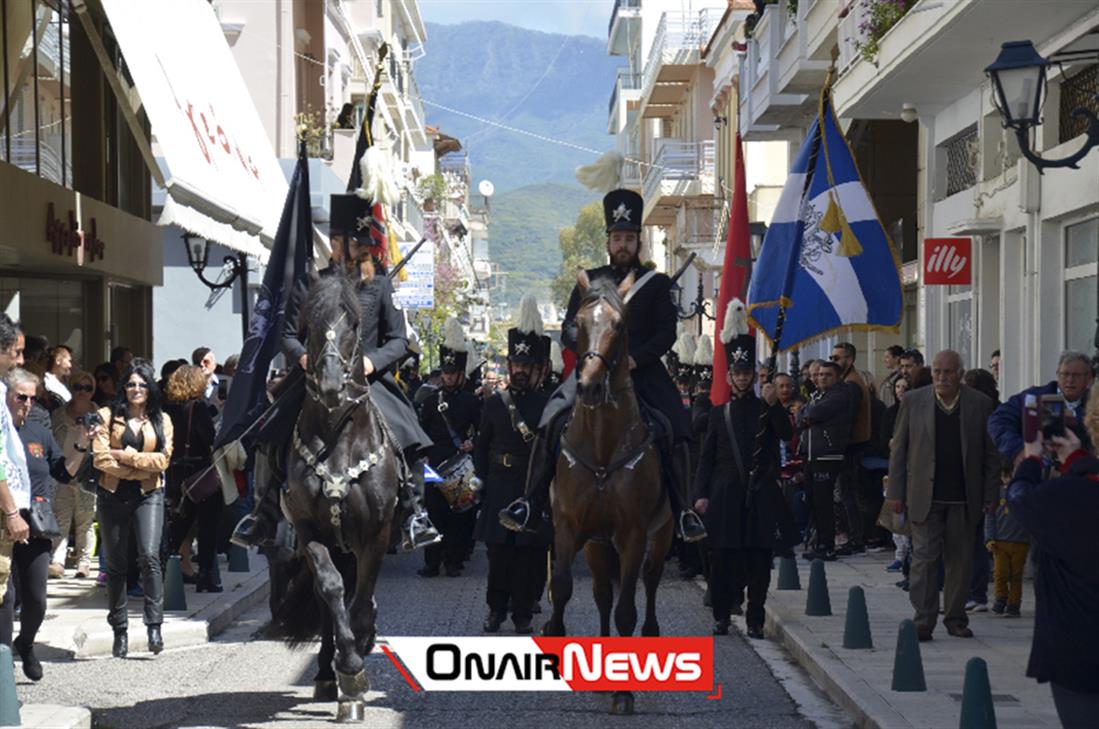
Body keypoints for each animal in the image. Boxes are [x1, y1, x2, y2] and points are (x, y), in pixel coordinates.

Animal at [268, 270, 402, 716]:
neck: (338, 438)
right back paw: (328, 673)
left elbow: (361, 601)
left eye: (355, 325)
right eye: (309, 323)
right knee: (330, 600)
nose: (329, 386)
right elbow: (332, 592)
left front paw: (357, 673)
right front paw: (348, 668)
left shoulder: (376, 534)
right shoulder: (309, 529)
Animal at [542, 270, 672, 716]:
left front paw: (625, 691)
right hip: (598, 545)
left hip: (661, 536)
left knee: (651, 580)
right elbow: (564, 587)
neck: (602, 444)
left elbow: (627, 607)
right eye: (577, 324)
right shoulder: (567, 526)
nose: (590, 388)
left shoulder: (633, 534)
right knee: (600, 593)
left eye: (620, 325)